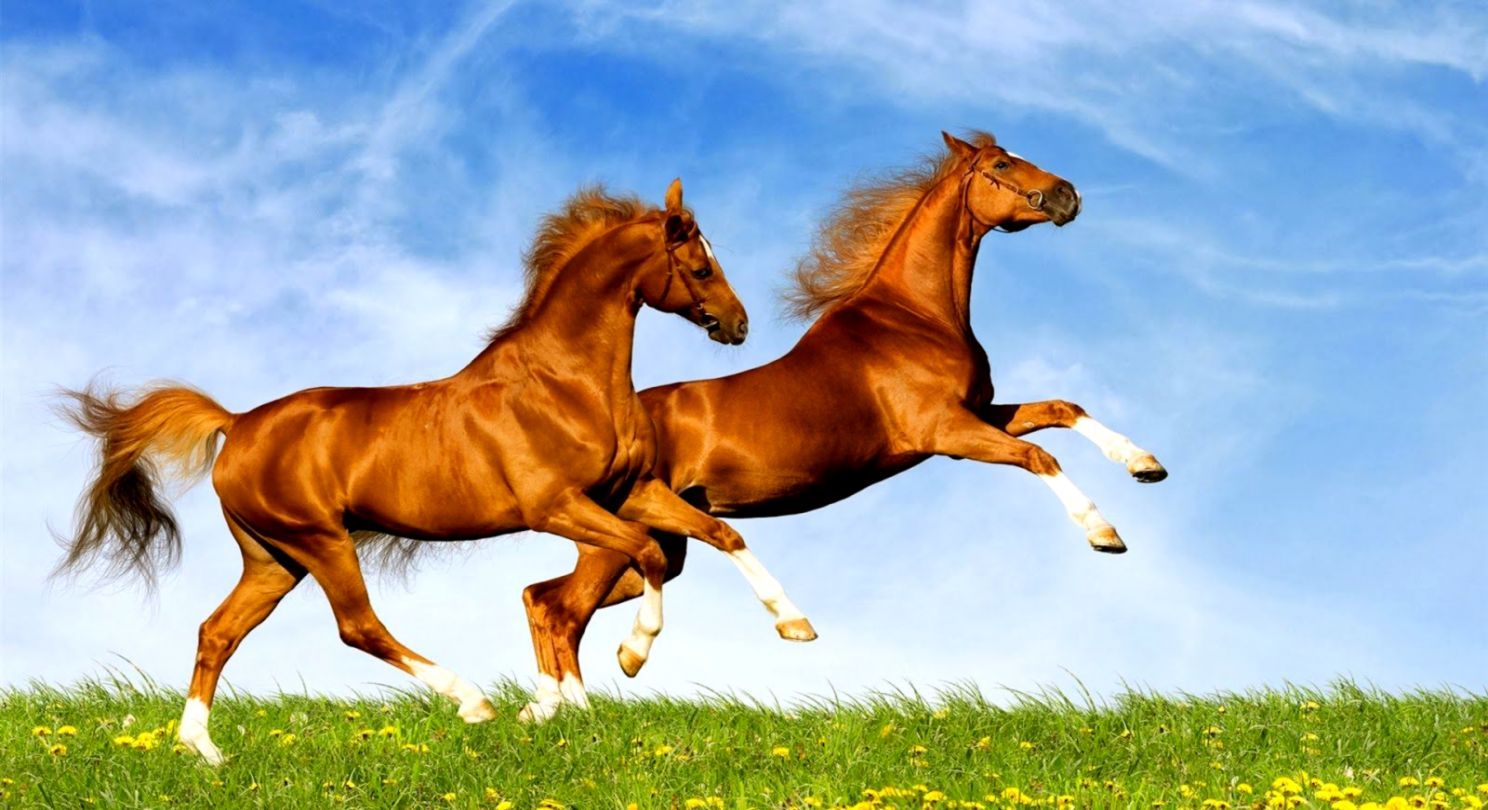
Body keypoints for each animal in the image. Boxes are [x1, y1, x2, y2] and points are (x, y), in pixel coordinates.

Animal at [55, 179, 812, 764]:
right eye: (702, 268)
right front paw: (631, 655)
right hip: (319, 540)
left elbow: (721, 534)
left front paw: (795, 625)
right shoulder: (555, 506)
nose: (738, 326)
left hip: (272, 557)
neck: (563, 382)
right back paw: (473, 702)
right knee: (357, 626)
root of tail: (236, 423)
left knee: (218, 632)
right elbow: (646, 554)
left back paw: (203, 751)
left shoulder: (631, 492)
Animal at [516, 132, 1168, 706]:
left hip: (656, 545)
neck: (915, 317)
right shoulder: (948, 432)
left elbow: (1063, 409)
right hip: (621, 541)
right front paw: (1104, 533)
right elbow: (1040, 455)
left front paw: (1144, 464)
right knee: (559, 610)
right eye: (1002, 166)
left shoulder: (981, 413)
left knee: (543, 598)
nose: (1067, 195)